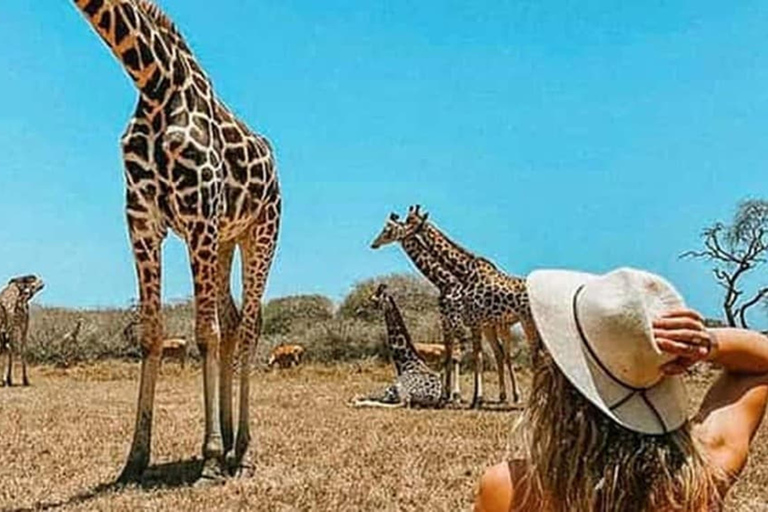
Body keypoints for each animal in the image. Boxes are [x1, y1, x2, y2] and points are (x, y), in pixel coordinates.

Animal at [72, 0, 281, 482]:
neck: (152, 81)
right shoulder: (142, 220)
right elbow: (151, 333)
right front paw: (134, 459)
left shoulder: (198, 213)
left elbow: (205, 332)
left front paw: (209, 458)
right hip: (224, 241)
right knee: (234, 319)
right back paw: (229, 440)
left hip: (261, 230)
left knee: (249, 326)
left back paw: (242, 449)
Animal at [371, 213, 514, 404]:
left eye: (388, 229)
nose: (374, 243)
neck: (445, 282)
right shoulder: (447, 322)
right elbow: (451, 355)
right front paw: (449, 396)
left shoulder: (459, 323)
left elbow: (459, 356)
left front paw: (459, 396)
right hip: (488, 326)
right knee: (498, 352)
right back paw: (503, 396)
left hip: (501, 325)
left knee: (507, 354)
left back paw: (513, 396)